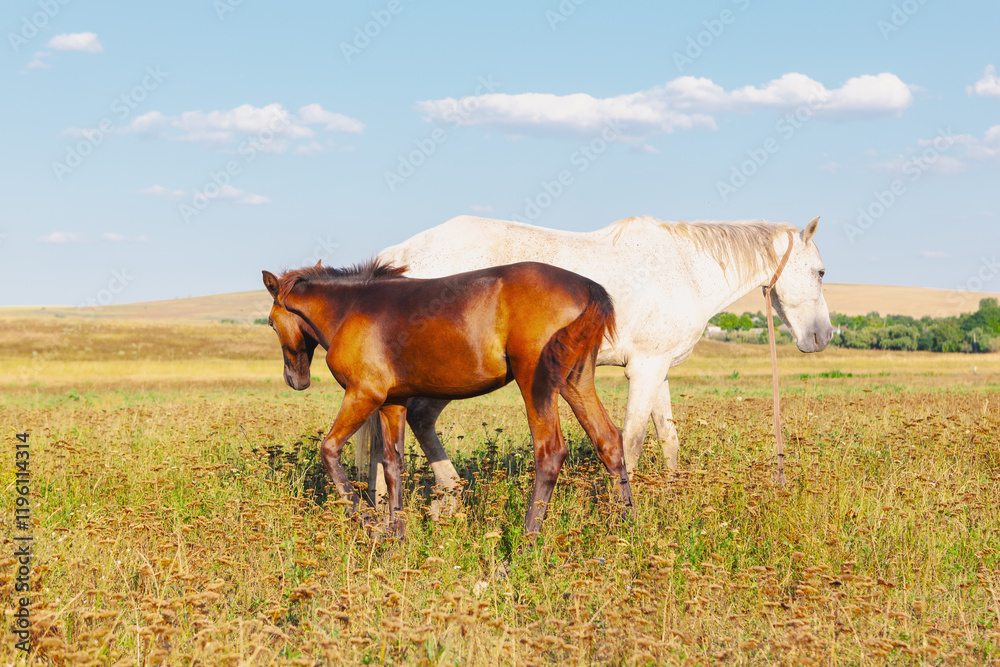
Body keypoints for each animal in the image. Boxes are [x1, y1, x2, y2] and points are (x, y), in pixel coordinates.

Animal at [261, 259, 633, 537]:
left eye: (270, 322)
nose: (296, 379)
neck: (351, 308)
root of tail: (588, 286)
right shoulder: (392, 402)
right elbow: (393, 466)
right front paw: (396, 533)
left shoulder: (363, 395)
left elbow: (330, 450)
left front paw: (367, 521)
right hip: (575, 382)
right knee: (609, 441)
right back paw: (627, 525)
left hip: (536, 383)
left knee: (550, 452)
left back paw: (526, 542)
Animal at [361, 215, 833, 500]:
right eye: (821, 271)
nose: (824, 335)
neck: (685, 268)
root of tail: (398, 257)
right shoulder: (644, 370)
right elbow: (632, 440)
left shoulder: (658, 371)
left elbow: (668, 438)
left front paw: (671, 493)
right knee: (413, 421)